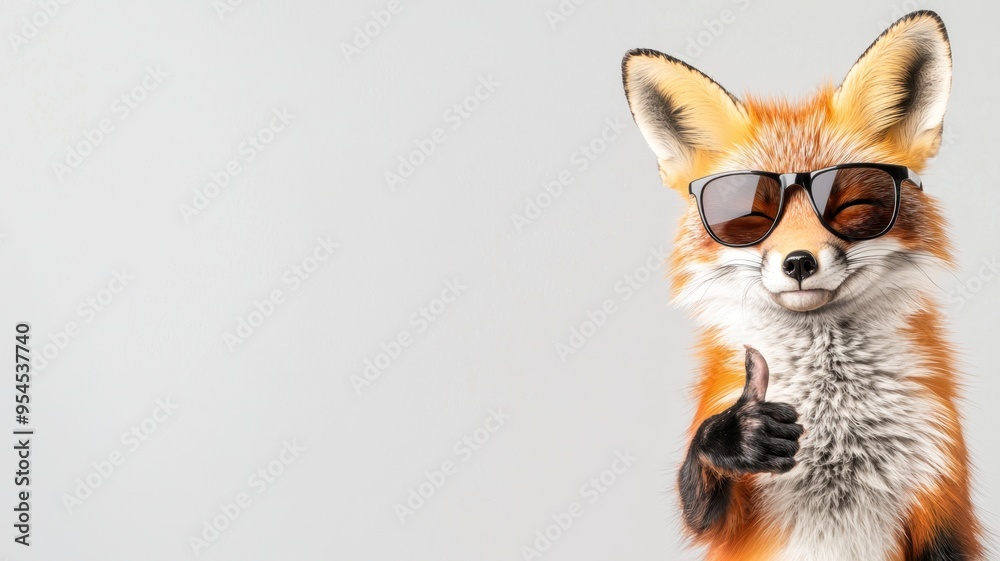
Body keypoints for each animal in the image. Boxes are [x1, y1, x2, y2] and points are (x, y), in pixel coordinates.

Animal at [621, 11, 983, 561]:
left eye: (853, 202)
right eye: (747, 212)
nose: (798, 262)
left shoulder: (942, 504)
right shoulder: (726, 524)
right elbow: (701, 506)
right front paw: (739, 434)